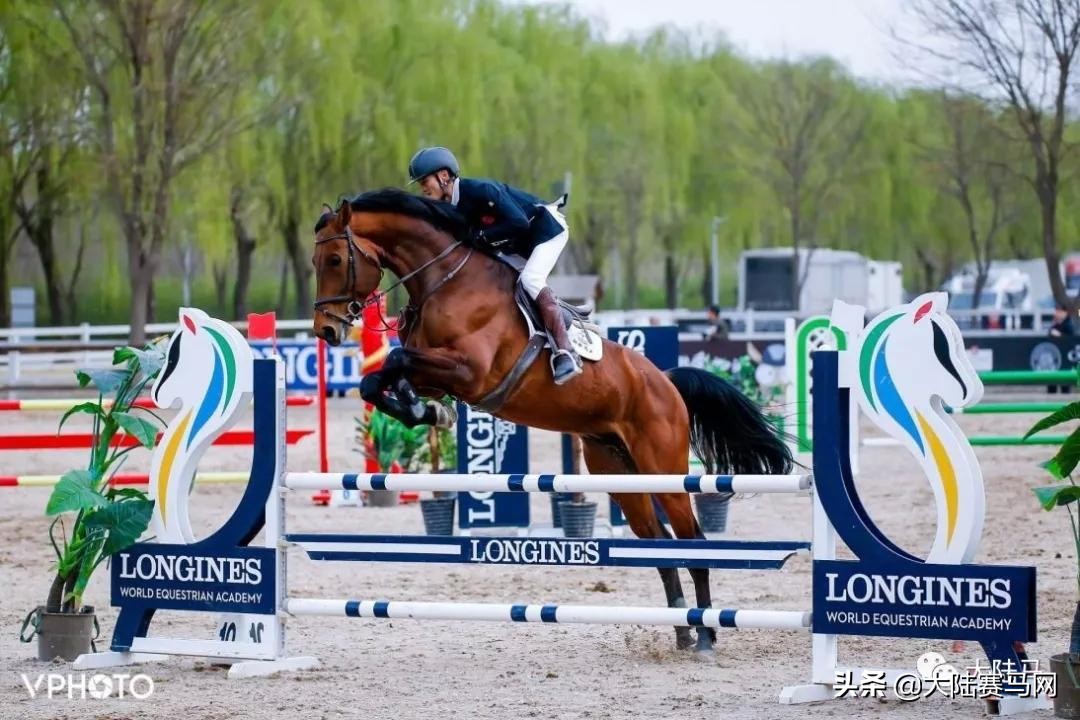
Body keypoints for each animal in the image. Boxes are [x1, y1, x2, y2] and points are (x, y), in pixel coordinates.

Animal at [310, 189, 794, 654]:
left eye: (334, 260)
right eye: (316, 262)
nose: (326, 331)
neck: (443, 280)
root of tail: (666, 382)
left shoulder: (469, 371)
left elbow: (395, 360)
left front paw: (422, 409)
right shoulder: (436, 374)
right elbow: (378, 380)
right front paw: (425, 411)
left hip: (664, 472)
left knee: (693, 541)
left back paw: (708, 635)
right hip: (621, 475)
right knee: (658, 544)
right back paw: (682, 632)